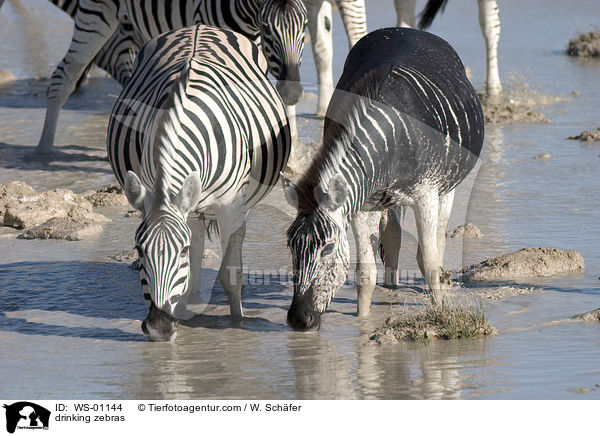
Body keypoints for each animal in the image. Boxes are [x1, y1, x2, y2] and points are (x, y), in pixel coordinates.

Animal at [35, 0, 308, 156]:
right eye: (267, 28)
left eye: (305, 25)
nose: (293, 93)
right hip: (96, 13)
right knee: (65, 75)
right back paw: (44, 150)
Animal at [108, 23, 292, 342]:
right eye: (139, 250)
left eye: (178, 251)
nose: (158, 327)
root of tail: (199, 26)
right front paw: (180, 315)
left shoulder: (230, 205)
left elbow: (230, 273)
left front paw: (237, 323)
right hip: (191, 203)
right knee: (195, 237)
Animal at [284, 27, 486, 330]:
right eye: (290, 246)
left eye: (328, 248)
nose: (298, 320)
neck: (390, 139)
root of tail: (406, 30)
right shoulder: (362, 203)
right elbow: (366, 272)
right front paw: (363, 321)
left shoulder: (426, 195)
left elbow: (428, 260)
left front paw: (439, 312)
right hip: (387, 198)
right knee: (392, 236)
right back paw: (391, 288)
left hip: (446, 187)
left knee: (437, 240)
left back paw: (440, 280)